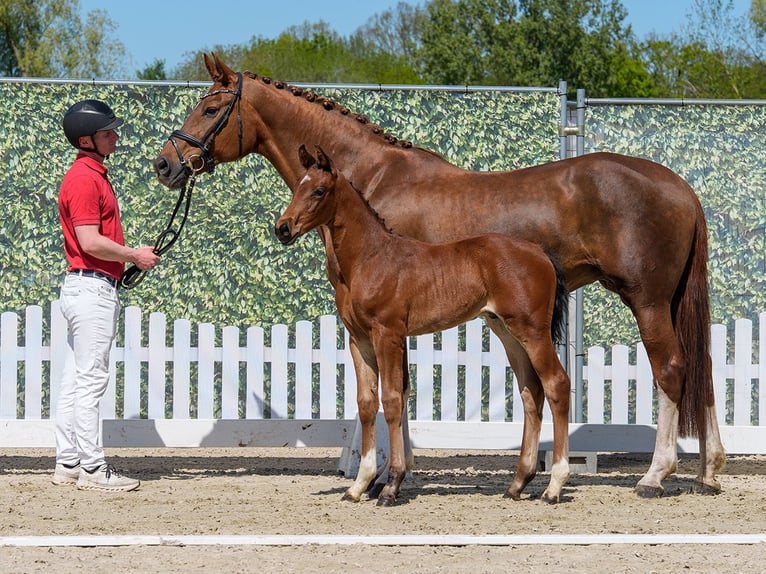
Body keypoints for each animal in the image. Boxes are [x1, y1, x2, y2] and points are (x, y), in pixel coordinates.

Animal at [275, 144, 571, 505]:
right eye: (297, 187)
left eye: (319, 190)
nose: (282, 228)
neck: (369, 258)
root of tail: (541, 254)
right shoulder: (358, 340)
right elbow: (366, 404)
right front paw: (358, 486)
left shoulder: (387, 333)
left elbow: (392, 400)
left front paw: (390, 486)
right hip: (507, 333)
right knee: (531, 392)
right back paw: (517, 484)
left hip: (533, 331)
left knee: (557, 384)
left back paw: (554, 486)